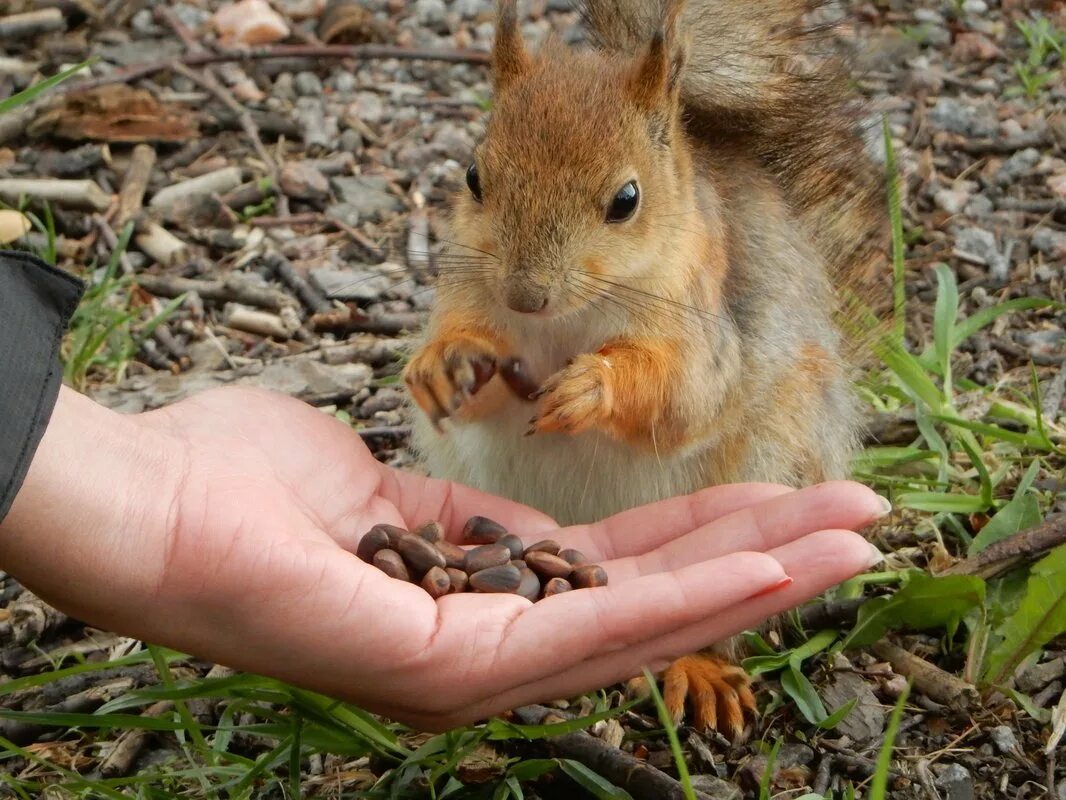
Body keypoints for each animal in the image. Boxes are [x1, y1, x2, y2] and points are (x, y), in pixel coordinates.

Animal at [402, 0, 886, 738]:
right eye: (473, 178)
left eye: (627, 199)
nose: (525, 296)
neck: (564, 323)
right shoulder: (472, 295)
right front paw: (440, 364)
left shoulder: (705, 330)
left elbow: (682, 397)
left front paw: (592, 386)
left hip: (774, 465)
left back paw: (701, 668)